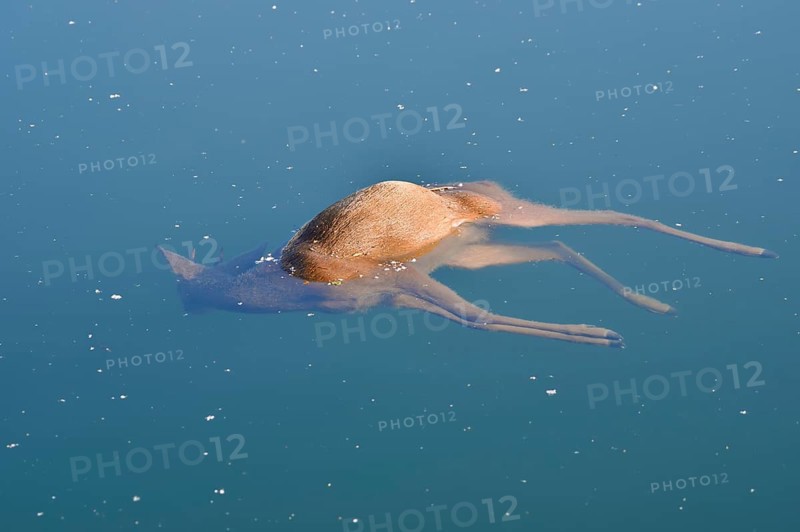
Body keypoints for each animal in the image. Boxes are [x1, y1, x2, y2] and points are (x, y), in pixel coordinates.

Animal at [159, 180, 777, 348]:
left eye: (185, 293)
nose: (185, 310)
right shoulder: (390, 293)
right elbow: (467, 318)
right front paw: (603, 331)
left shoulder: (390, 276)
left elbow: (476, 317)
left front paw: (601, 334)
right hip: (474, 250)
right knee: (561, 245)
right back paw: (651, 301)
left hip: (503, 219)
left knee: (609, 215)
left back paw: (753, 251)